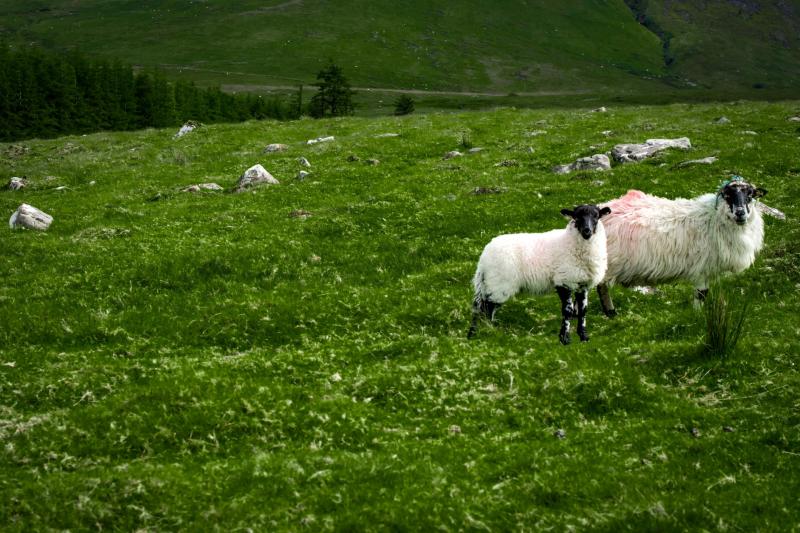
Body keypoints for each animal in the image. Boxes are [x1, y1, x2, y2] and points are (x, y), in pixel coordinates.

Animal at [468, 204, 612, 344]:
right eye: (577, 217)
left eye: (596, 216)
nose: (587, 231)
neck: (569, 242)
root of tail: (484, 257)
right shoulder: (563, 281)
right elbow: (568, 311)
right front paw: (564, 339)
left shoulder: (582, 284)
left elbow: (583, 310)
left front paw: (584, 337)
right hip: (498, 285)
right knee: (487, 309)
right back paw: (488, 332)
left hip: (489, 284)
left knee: (481, 308)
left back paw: (478, 333)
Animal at [595, 177, 767, 316]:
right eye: (728, 196)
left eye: (750, 195)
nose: (740, 213)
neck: (714, 218)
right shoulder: (702, 267)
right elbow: (701, 294)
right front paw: (698, 315)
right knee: (601, 287)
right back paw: (610, 313)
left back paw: (611, 314)